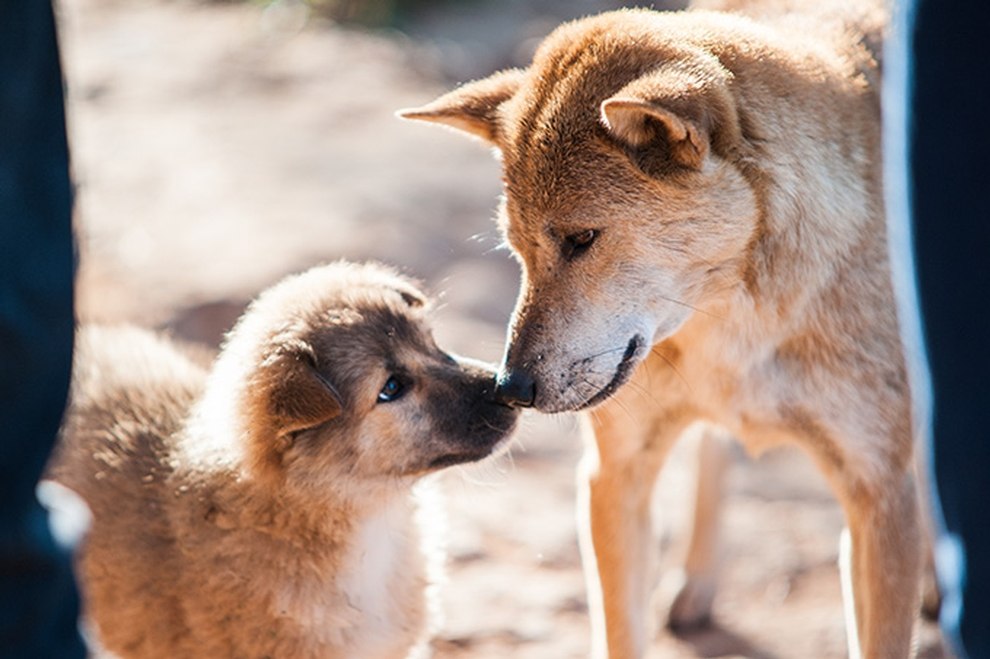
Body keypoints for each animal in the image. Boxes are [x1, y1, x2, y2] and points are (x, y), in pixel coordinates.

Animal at [400, 2, 928, 656]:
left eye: (581, 239)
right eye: (515, 250)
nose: (510, 388)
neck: (733, 326)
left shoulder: (881, 497)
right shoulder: (613, 475)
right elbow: (620, 630)